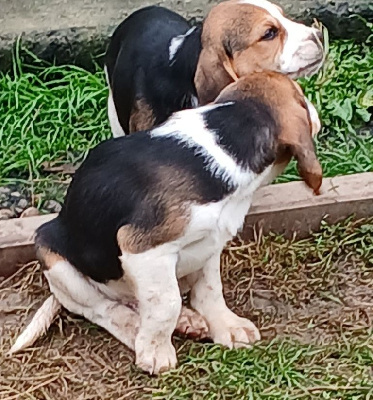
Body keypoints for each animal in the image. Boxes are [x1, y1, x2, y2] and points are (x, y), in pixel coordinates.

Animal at [10, 71, 322, 376]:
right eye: (300, 95)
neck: (225, 140)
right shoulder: (144, 249)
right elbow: (166, 303)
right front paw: (156, 352)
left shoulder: (210, 243)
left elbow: (210, 289)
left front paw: (227, 326)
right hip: (57, 260)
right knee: (106, 309)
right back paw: (138, 330)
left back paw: (187, 321)